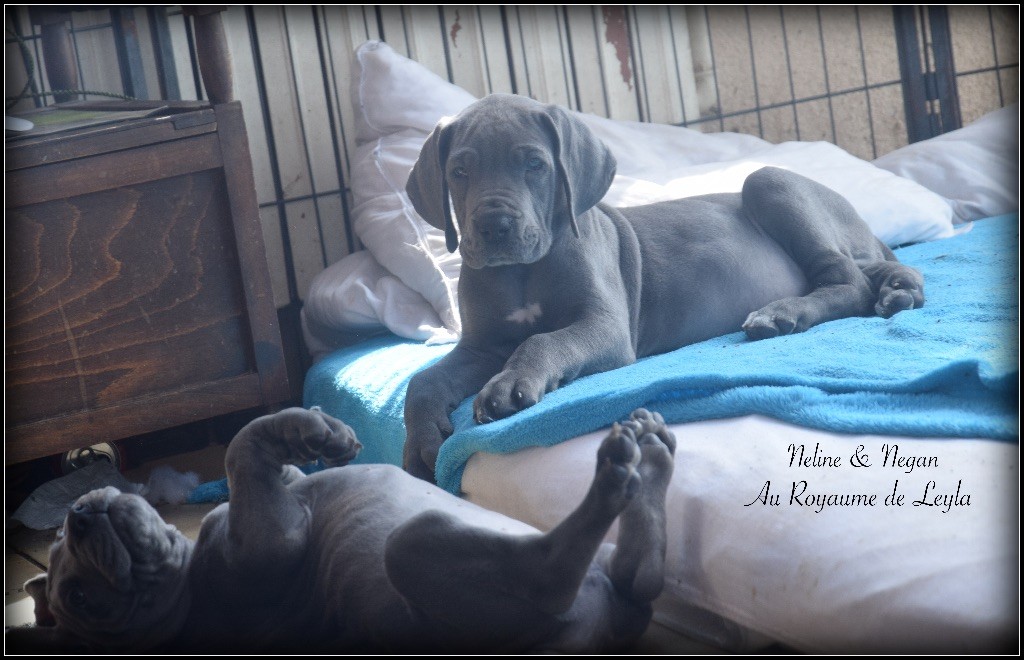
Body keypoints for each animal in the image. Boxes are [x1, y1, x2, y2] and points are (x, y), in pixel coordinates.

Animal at [6, 406, 675, 654]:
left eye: (60, 545)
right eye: (81, 597)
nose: (77, 518)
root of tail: (602, 638)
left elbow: (259, 444)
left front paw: (315, 432)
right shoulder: (270, 538)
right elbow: (240, 448)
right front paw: (304, 429)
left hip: (619, 582)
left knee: (638, 576)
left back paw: (653, 459)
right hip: (418, 548)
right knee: (553, 574)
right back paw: (617, 473)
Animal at [402, 93, 925, 482]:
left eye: (534, 164)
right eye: (459, 172)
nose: (494, 228)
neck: (520, 273)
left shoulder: (606, 328)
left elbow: (542, 341)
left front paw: (510, 384)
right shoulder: (482, 346)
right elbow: (422, 380)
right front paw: (419, 441)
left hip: (769, 181)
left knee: (848, 281)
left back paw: (784, 313)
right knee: (870, 271)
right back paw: (900, 290)